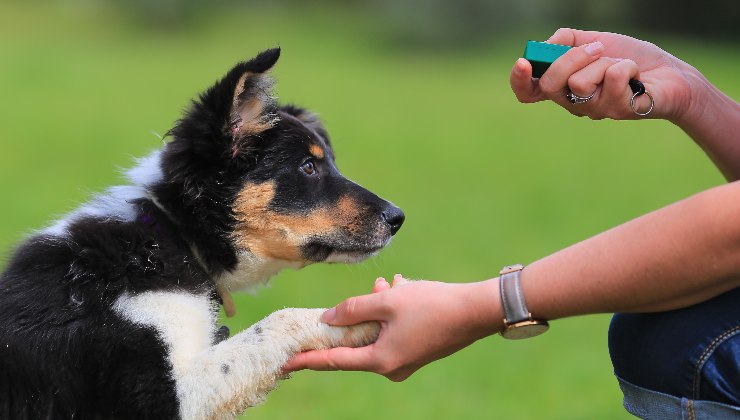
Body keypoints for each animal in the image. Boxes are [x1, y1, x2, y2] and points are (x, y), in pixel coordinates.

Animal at [0, 48, 404, 416]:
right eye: (307, 166)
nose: (398, 218)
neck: (170, 238)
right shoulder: (159, 396)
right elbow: (279, 321)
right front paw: (362, 318)